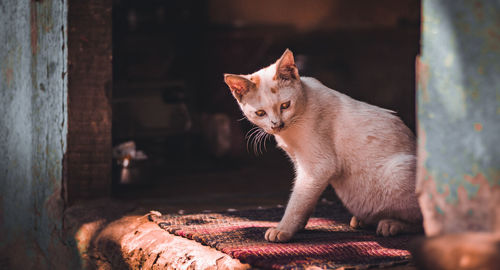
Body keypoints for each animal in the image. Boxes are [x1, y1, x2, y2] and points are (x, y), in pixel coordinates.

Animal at [224, 49, 422, 243]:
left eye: (285, 105)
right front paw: (299, 227)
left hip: (398, 171)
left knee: (421, 221)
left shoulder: (317, 167)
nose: (276, 124)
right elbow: (306, 200)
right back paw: (363, 220)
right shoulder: (300, 164)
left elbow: (297, 201)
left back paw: (390, 224)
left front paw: (283, 230)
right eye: (260, 113)